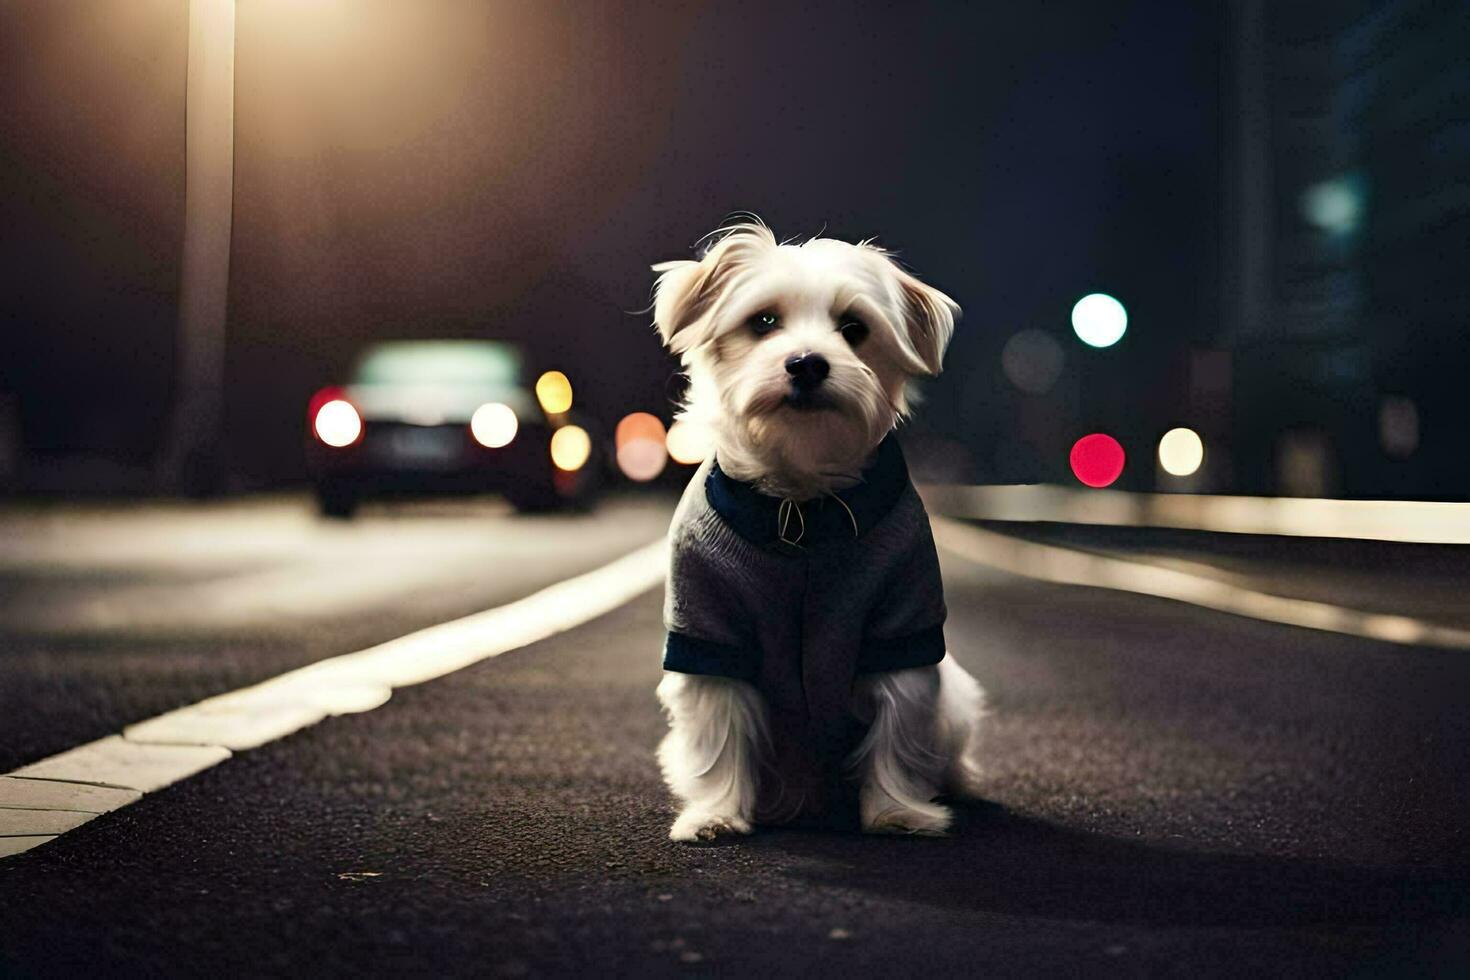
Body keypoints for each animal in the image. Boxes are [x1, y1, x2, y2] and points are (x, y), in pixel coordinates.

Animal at [649, 218, 981, 840]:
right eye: (763, 322)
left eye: (854, 329)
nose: (807, 363)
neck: (800, 504)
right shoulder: (709, 633)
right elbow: (718, 738)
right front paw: (715, 814)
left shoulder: (901, 626)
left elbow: (899, 735)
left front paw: (898, 811)